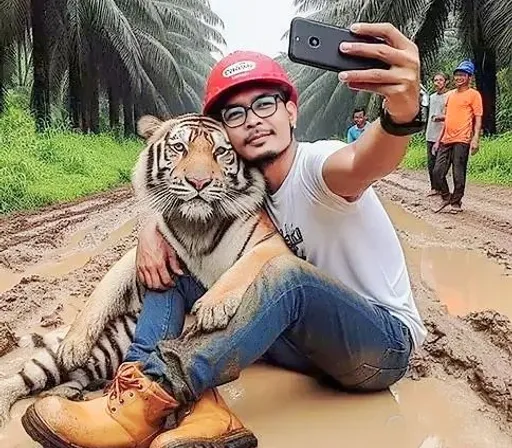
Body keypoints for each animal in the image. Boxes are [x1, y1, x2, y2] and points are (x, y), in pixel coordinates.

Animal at [0, 112, 294, 428]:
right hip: (76, 357)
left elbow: (242, 267)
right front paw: (74, 344)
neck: (197, 227)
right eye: (179, 148)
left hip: (101, 361)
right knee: (19, 378)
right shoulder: (143, 252)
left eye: (221, 152)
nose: (199, 182)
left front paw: (212, 307)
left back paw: (67, 396)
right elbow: (104, 289)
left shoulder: (270, 241)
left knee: (69, 381)